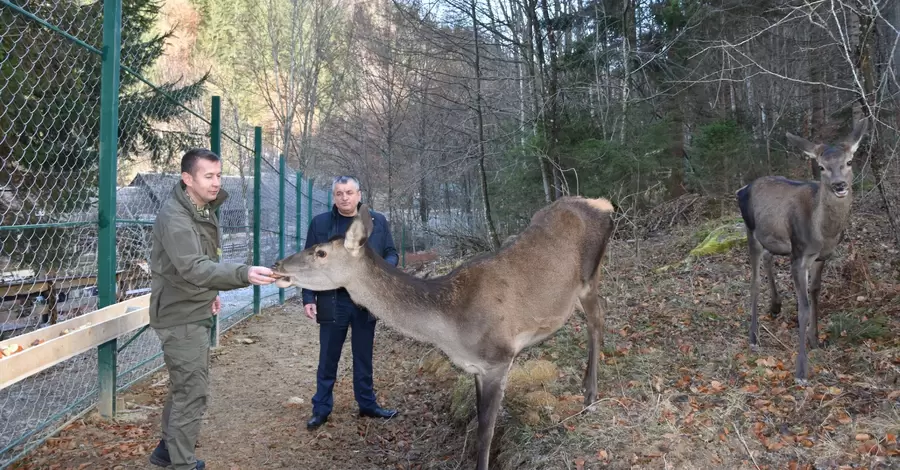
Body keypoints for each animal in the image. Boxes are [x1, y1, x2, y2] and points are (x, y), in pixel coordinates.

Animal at [270, 196, 616, 470]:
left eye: (320, 252)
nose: (277, 264)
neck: (452, 327)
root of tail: (604, 204)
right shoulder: (475, 367)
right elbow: (477, 421)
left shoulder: (498, 357)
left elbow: (485, 432)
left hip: (590, 274)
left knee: (598, 318)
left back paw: (590, 396)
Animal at [736, 116, 868, 382]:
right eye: (821, 167)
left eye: (849, 161)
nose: (839, 185)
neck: (823, 233)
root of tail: (742, 189)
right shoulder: (799, 255)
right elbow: (803, 307)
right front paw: (801, 370)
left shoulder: (822, 257)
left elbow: (816, 293)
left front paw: (815, 341)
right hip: (751, 231)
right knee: (754, 281)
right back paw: (754, 337)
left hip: (776, 239)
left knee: (769, 257)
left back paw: (775, 306)